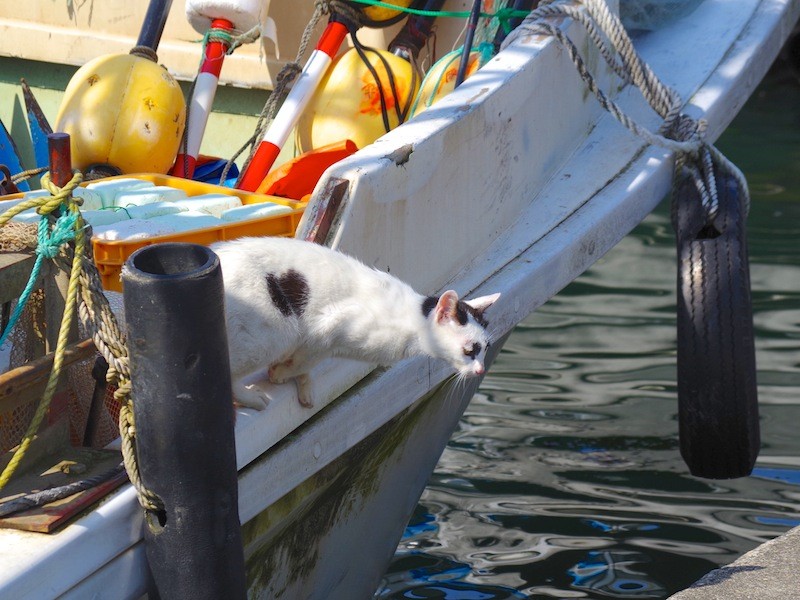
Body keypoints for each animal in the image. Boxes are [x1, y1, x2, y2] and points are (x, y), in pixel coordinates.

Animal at [212, 237, 500, 410]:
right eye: (469, 350)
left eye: (485, 349)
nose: (480, 370)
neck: (412, 325)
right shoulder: (327, 328)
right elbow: (305, 360)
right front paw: (281, 374)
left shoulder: (317, 342)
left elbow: (305, 364)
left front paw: (303, 386)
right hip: (275, 333)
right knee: (228, 372)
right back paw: (252, 398)